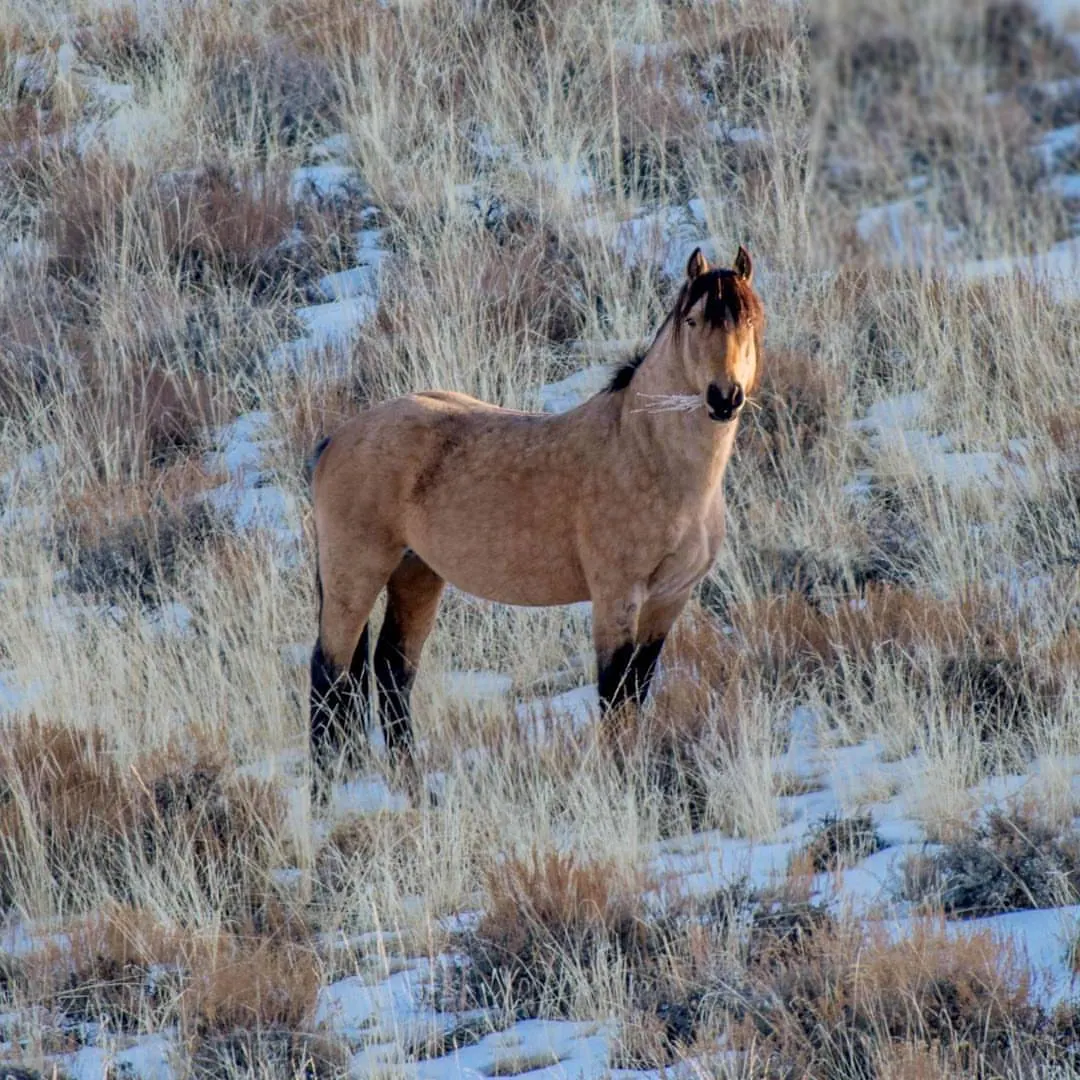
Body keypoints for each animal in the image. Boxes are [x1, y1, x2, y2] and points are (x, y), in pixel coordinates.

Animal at [307, 245, 764, 793]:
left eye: (751, 321)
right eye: (694, 320)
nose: (724, 397)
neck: (647, 454)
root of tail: (336, 439)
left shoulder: (669, 599)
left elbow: (638, 689)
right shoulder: (616, 595)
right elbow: (615, 694)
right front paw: (621, 781)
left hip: (417, 574)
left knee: (393, 671)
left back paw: (413, 785)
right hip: (355, 574)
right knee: (328, 675)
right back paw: (324, 793)